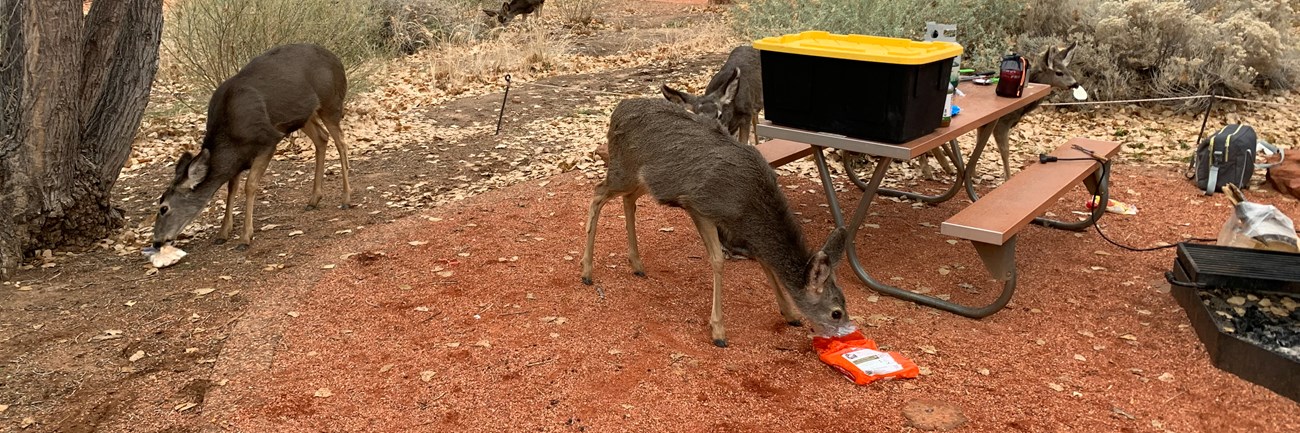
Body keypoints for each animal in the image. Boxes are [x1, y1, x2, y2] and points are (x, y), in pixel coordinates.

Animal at [151, 43, 352, 252]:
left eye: (164, 208)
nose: (157, 241)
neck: (231, 139)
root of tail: (336, 59)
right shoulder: (238, 159)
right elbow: (232, 189)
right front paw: (223, 233)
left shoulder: (268, 140)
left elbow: (250, 185)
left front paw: (245, 237)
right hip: (303, 115)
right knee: (322, 138)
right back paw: (314, 199)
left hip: (331, 102)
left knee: (341, 141)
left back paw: (346, 198)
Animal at [580, 98, 855, 348]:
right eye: (836, 313)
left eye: (845, 303)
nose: (848, 334)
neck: (748, 204)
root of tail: (618, 109)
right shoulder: (701, 206)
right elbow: (718, 260)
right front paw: (718, 331)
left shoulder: (739, 227)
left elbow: (763, 260)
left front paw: (790, 314)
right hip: (623, 169)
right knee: (597, 193)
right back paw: (586, 271)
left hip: (642, 180)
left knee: (628, 200)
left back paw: (636, 264)